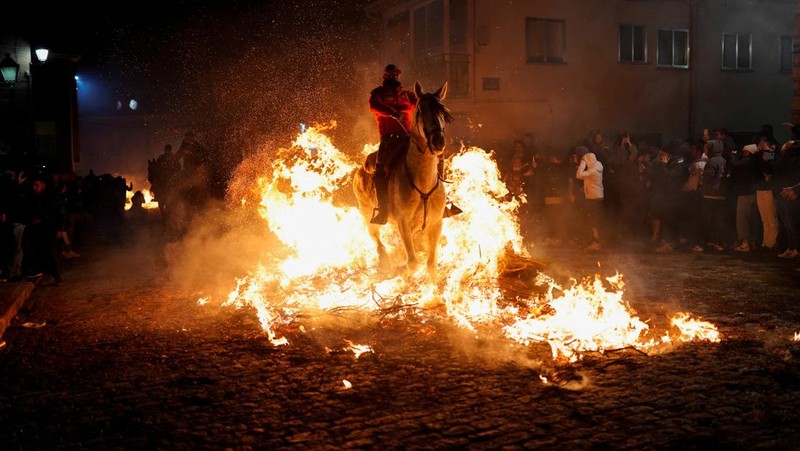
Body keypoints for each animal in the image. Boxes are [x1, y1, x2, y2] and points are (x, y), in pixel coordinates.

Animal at [354, 81, 454, 284]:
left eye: (443, 113)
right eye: (421, 110)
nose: (438, 142)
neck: (422, 182)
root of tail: (360, 171)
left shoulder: (435, 224)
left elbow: (431, 264)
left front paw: (435, 289)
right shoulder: (403, 223)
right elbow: (413, 263)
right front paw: (405, 276)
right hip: (367, 213)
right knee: (376, 239)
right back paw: (384, 260)